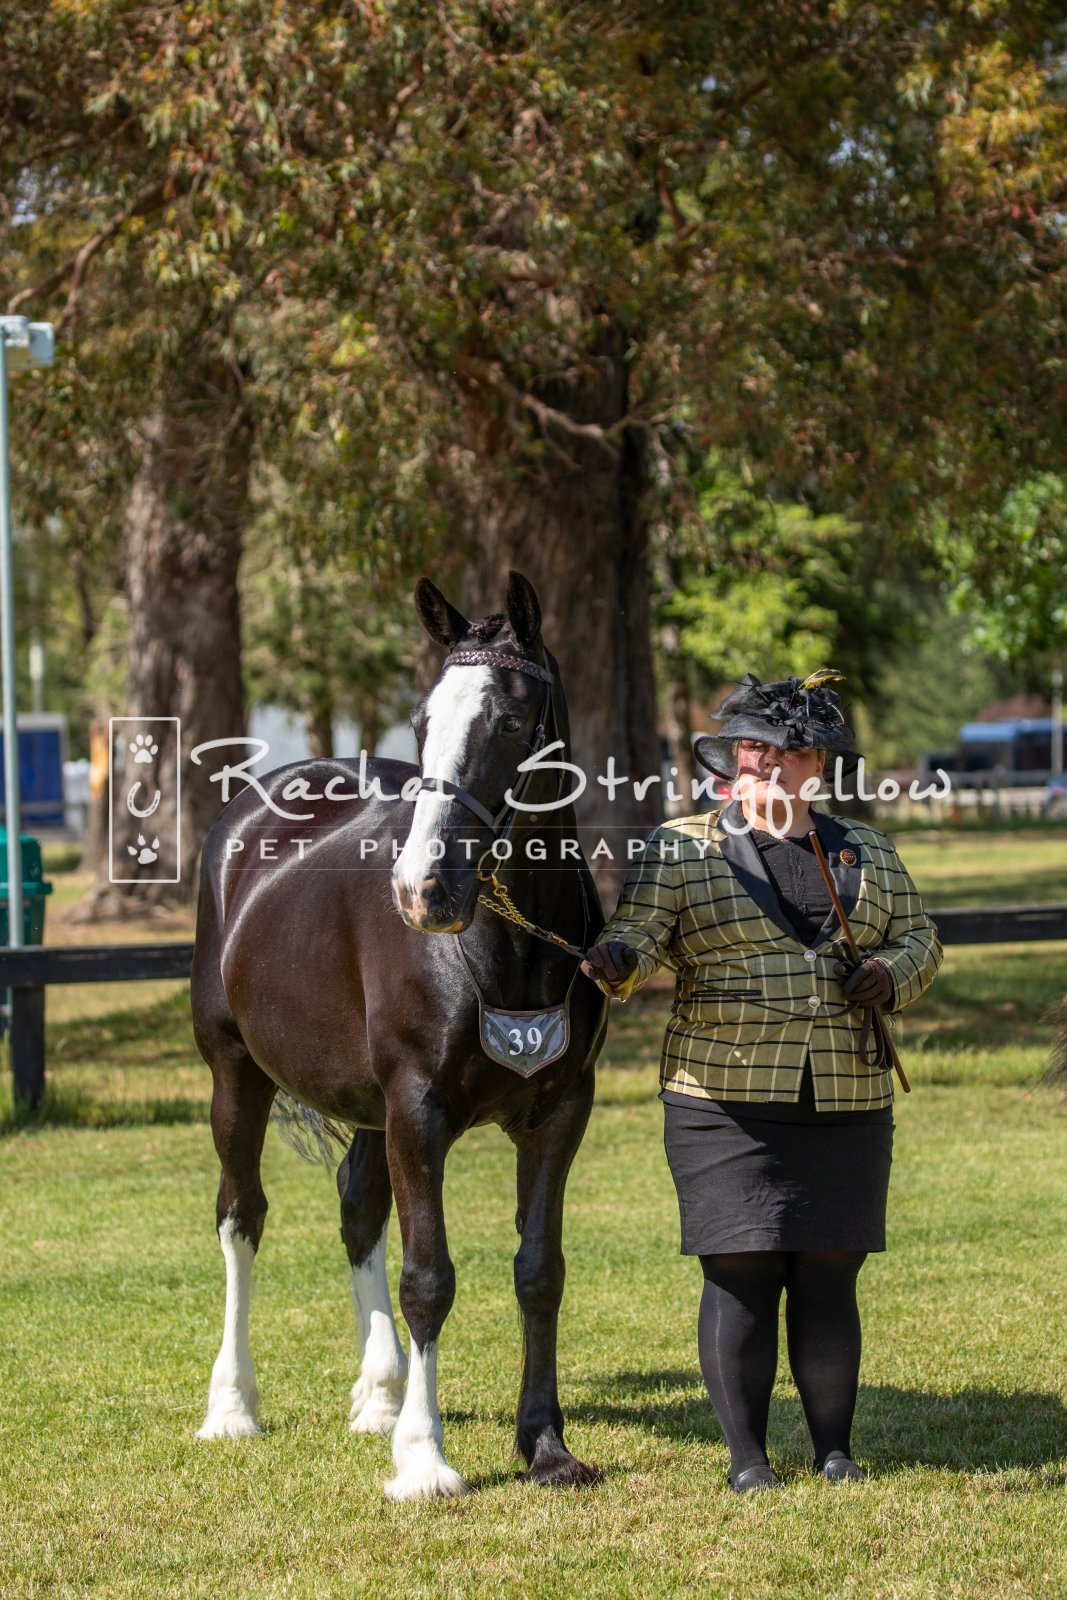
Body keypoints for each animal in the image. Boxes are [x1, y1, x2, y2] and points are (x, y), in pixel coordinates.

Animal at [190, 570, 609, 1499]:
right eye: (421, 722)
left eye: (512, 721)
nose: (424, 889)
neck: (503, 946)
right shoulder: (417, 1110)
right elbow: (428, 1278)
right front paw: (424, 1458)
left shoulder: (559, 1114)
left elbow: (540, 1273)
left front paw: (545, 1445)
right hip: (237, 1074)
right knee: (241, 1218)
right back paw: (231, 1407)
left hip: (366, 1105)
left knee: (357, 1207)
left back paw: (378, 1395)